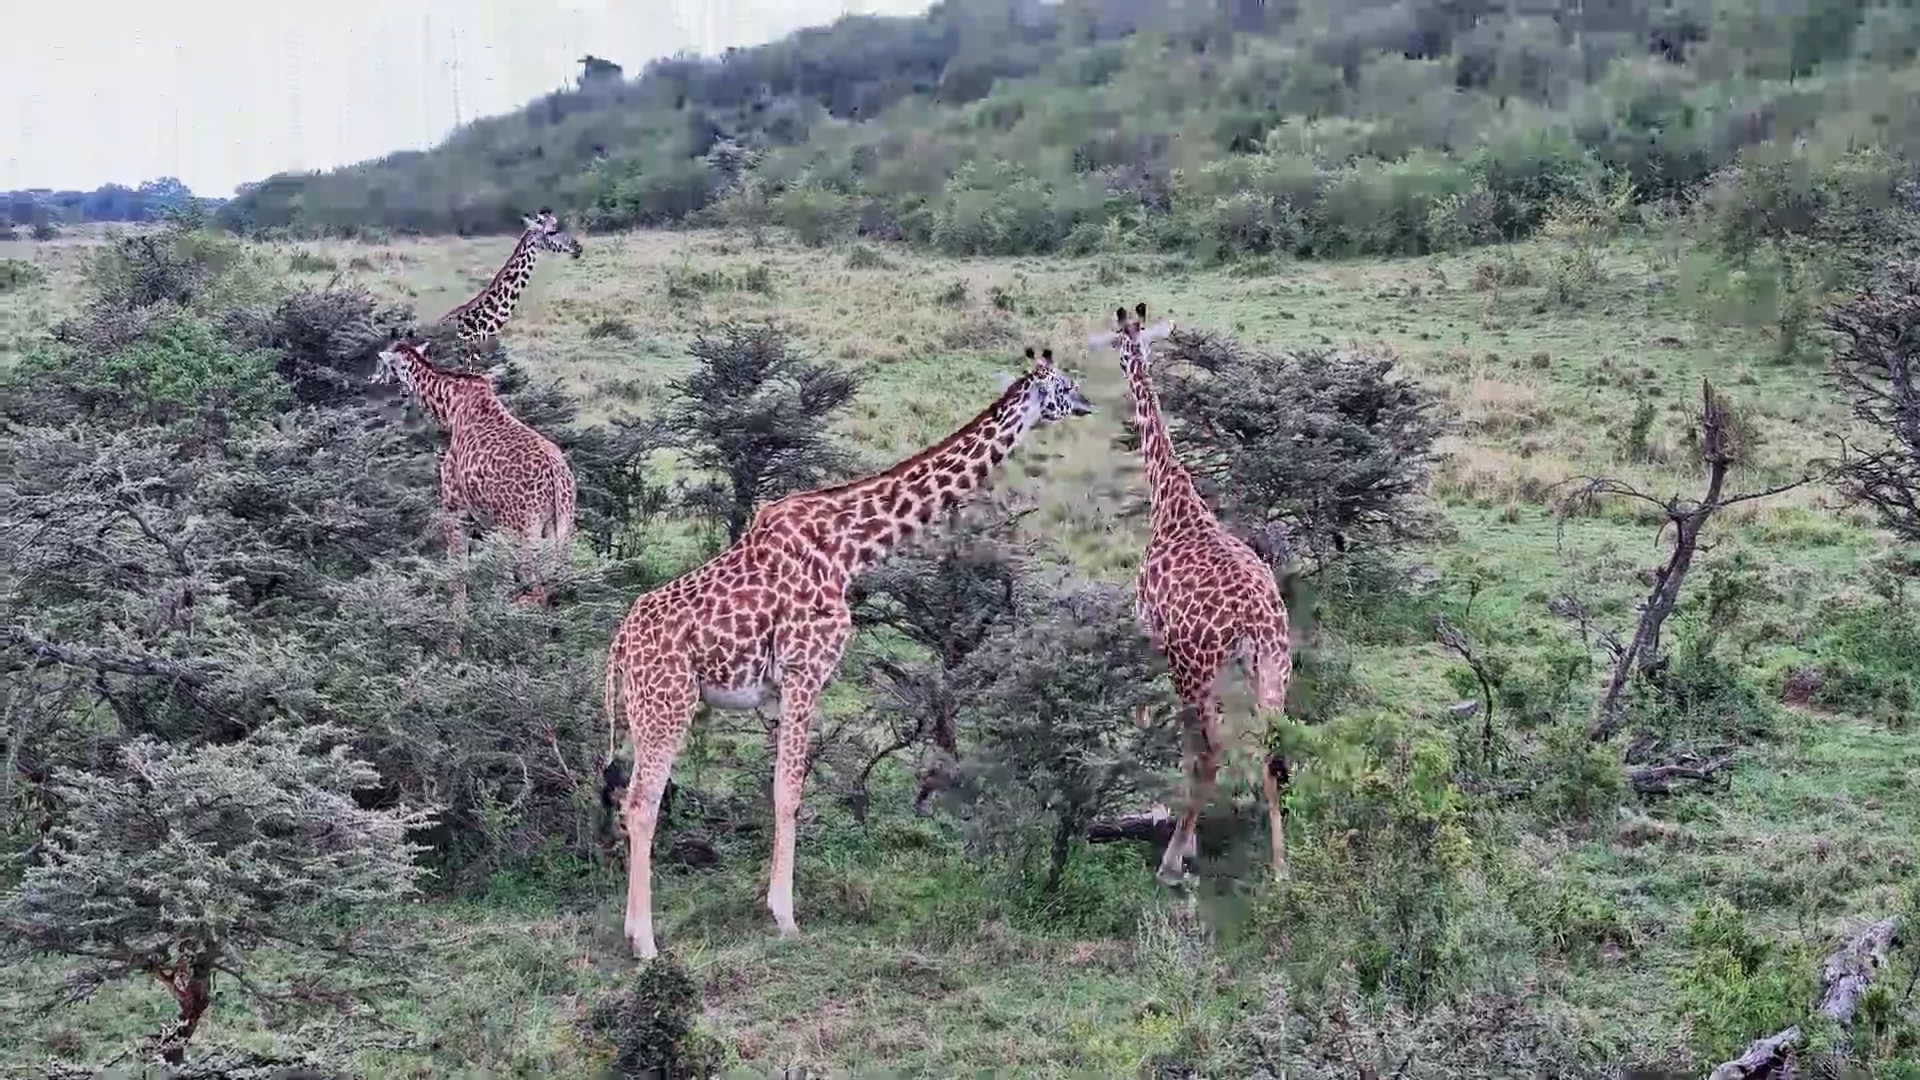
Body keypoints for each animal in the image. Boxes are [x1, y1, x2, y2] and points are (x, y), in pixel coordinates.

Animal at [371, 339, 578, 612]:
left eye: (383, 362)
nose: (374, 378)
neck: (449, 405)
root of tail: (556, 474)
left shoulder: (455, 506)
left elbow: (458, 571)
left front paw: (459, 621)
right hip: (560, 527)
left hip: (522, 529)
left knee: (533, 588)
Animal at [600, 346, 1096, 959]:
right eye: (1064, 385)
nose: (1087, 403)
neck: (850, 547)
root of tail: (619, 646)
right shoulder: (804, 670)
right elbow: (789, 791)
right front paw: (785, 916)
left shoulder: (783, 686)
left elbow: (781, 786)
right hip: (667, 703)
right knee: (641, 803)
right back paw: (645, 942)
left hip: (643, 709)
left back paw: (633, 929)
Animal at [1088, 302, 1293, 886]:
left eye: (1120, 345)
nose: (1123, 357)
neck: (1171, 501)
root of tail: (1254, 623)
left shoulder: (1149, 629)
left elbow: (1154, 722)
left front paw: (1167, 818)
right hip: (1273, 667)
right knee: (1269, 749)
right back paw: (1281, 868)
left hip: (1197, 669)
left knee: (1210, 753)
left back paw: (1171, 861)